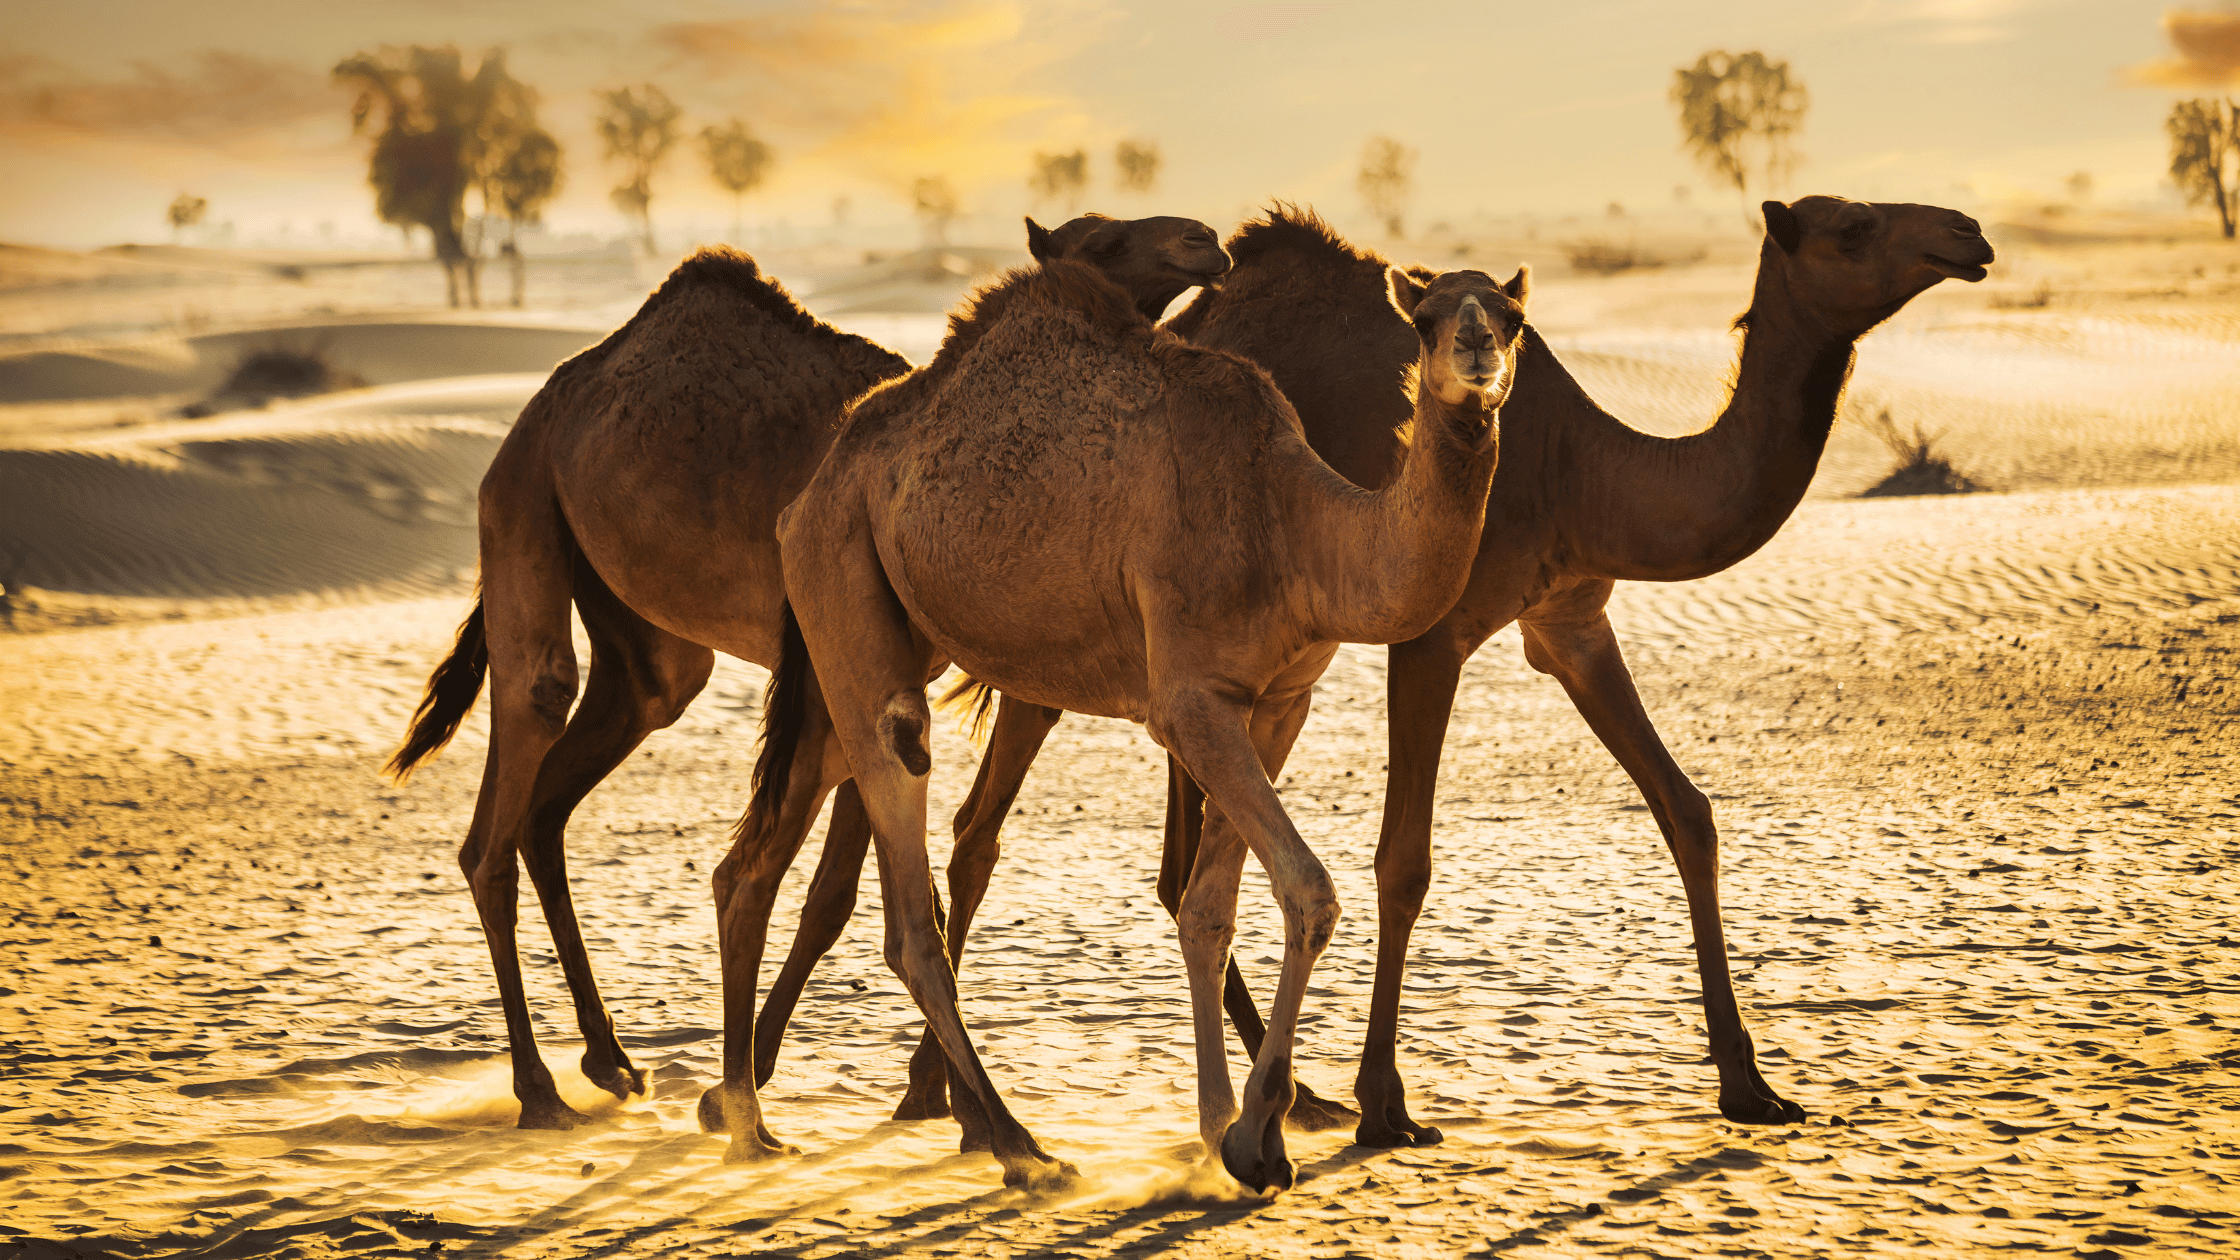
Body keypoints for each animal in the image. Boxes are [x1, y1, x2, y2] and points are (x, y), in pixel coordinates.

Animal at [383, 212, 1227, 1129]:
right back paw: (539, 1087)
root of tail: (546, 404)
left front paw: (784, 1074)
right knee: (512, 771)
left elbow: (834, 894)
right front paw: (771, 1082)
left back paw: (609, 1059)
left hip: (642, 640)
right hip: (521, 503)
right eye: (1102, 242)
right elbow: (829, 887)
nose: (1203, 240)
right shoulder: (837, 666)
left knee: (578, 769)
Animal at [707, 255, 1532, 1183]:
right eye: (1423, 320)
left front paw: (1221, 1126)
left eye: (1513, 317)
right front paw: (1256, 1138)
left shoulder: (1278, 702)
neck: (1295, 528)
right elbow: (1307, 891)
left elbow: (1209, 909)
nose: (1476, 346)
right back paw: (1018, 1146)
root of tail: (813, 486)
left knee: (753, 860)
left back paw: (748, 1124)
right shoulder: (1189, 700)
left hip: (857, 633)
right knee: (906, 883)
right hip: (843, 579)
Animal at [757, 193, 1998, 1138]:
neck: (1587, 469)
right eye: (1850, 225)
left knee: (1064, 843)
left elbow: (1683, 811)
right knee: (977, 825)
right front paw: (1383, 1101)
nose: (1965, 233)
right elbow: (1403, 861)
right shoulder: (1431, 635)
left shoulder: (1569, 620)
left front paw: (1748, 1081)